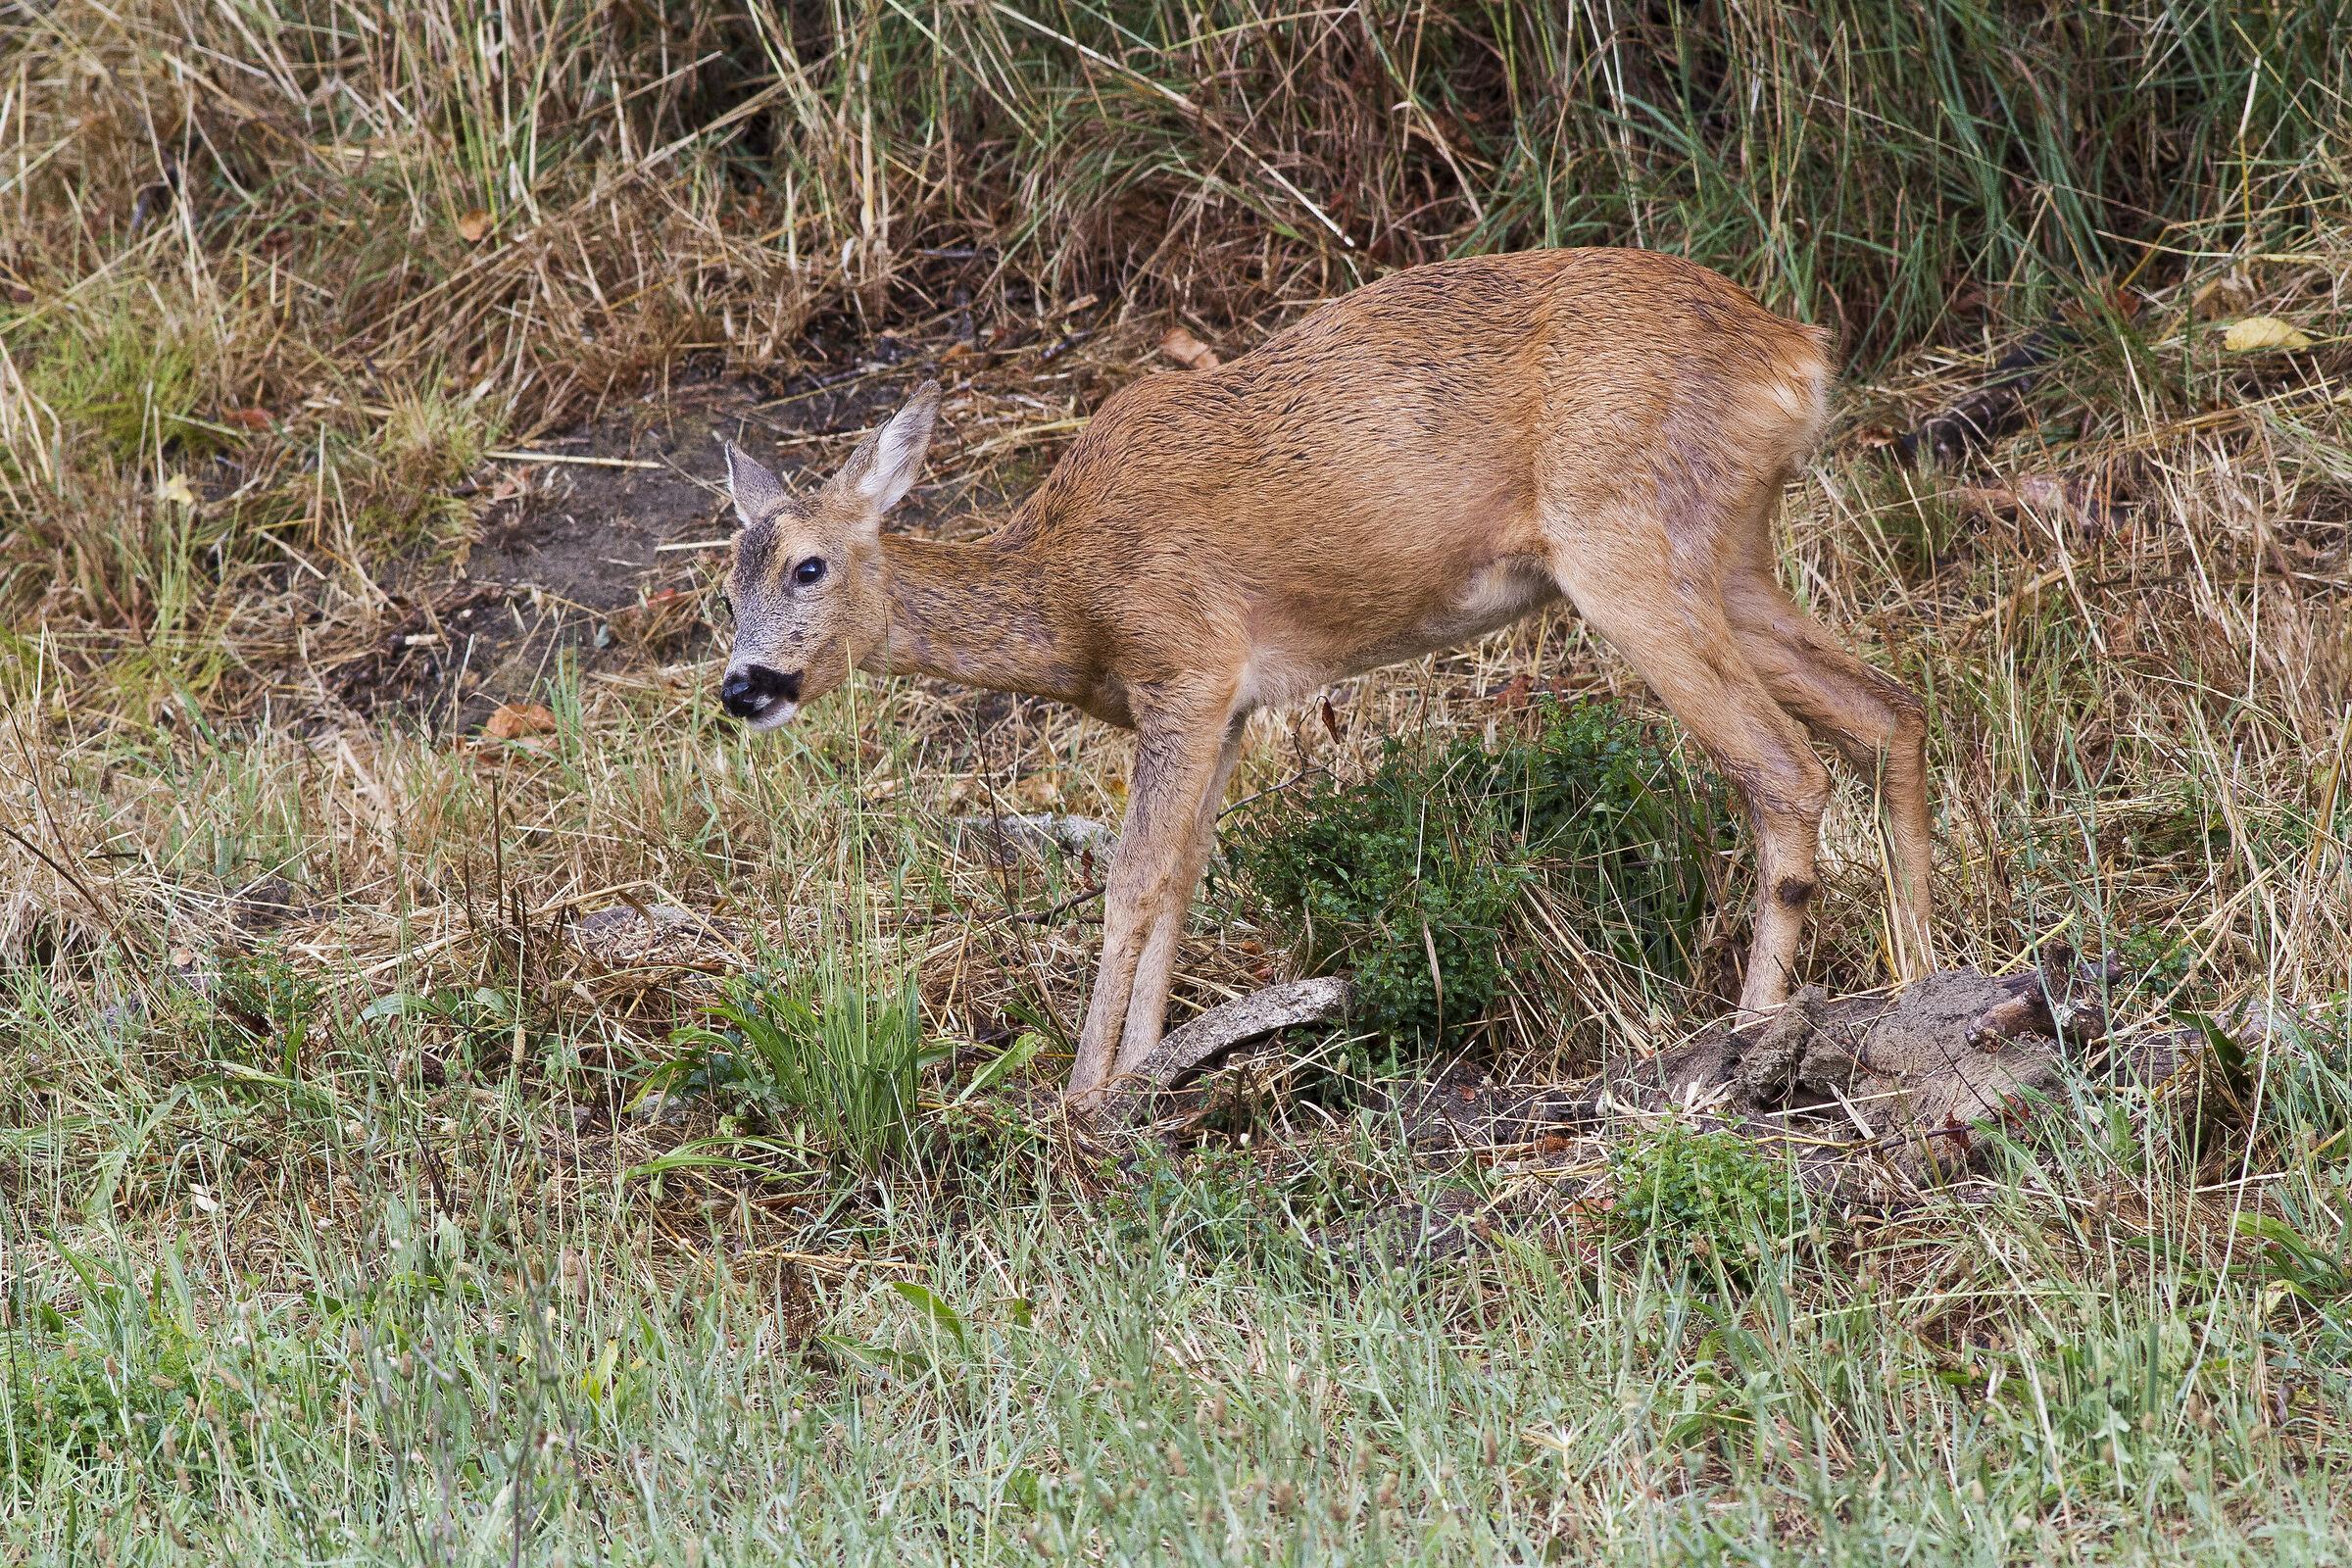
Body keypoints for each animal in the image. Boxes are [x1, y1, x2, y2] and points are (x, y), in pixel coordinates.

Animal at [714, 248, 1936, 1106]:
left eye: (809, 565)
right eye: (725, 585)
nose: (742, 687)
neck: (1070, 596)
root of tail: (1797, 356)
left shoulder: (1186, 665)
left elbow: (1132, 877)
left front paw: (1084, 1096)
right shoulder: (1229, 706)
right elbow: (1183, 876)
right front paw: (1151, 1071)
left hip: (1629, 546)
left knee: (1784, 767)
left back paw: (1745, 1045)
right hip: (1729, 555)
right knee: (1890, 710)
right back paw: (1916, 981)